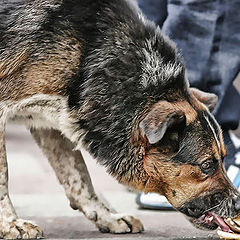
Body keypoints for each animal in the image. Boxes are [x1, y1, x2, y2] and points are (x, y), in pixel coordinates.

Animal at [0, 0, 240, 239]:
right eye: (206, 165)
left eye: (223, 159)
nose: (238, 205)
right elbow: (3, 177)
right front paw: (11, 224)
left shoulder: (52, 120)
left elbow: (79, 177)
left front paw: (106, 217)